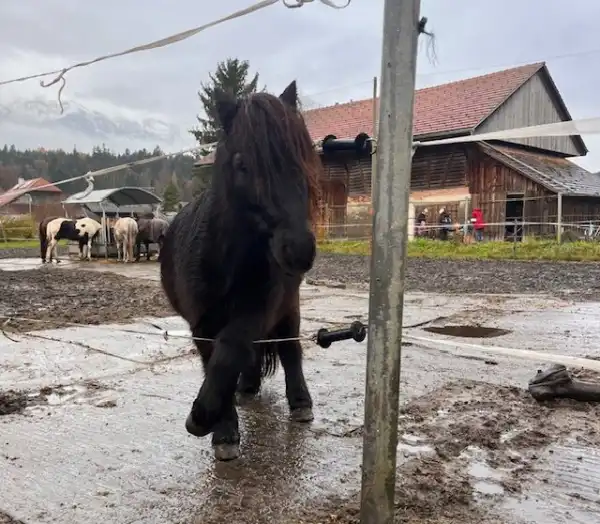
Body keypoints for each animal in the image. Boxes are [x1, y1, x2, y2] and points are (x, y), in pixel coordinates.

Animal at [157, 80, 322, 460]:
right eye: (242, 163)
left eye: (303, 157)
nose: (300, 249)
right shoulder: (201, 322)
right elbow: (216, 362)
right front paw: (222, 427)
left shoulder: (256, 310)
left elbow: (229, 353)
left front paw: (201, 419)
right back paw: (247, 388)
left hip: (288, 308)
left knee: (289, 349)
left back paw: (300, 403)